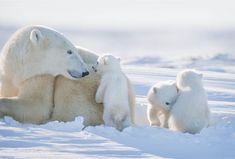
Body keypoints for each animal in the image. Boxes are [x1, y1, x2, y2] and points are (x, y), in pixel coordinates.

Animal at [0, 25, 136, 126]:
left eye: (74, 49)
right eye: (69, 51)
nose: (85, 72)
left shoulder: (41, 76)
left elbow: (37, 106)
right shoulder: (7, 77)